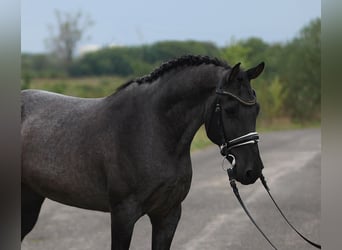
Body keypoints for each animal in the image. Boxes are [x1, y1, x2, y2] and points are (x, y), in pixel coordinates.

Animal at [21, 55, 266, 250]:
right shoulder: (123, 215)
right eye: (230, 110)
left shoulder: (168, 215)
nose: (252, 171)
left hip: (31, 199)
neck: (152, 129)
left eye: (256, 109)